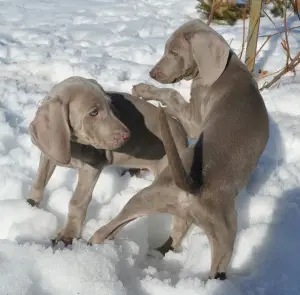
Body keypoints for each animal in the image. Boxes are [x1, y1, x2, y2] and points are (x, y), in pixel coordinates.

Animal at [89, 19, 270, 280]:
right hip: (221, 236)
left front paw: (144, 90)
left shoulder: (195, 121)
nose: (152, 73)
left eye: (174, 52)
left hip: (149, 197)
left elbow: (172, 94)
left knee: (108, 228)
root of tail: (193, 187)